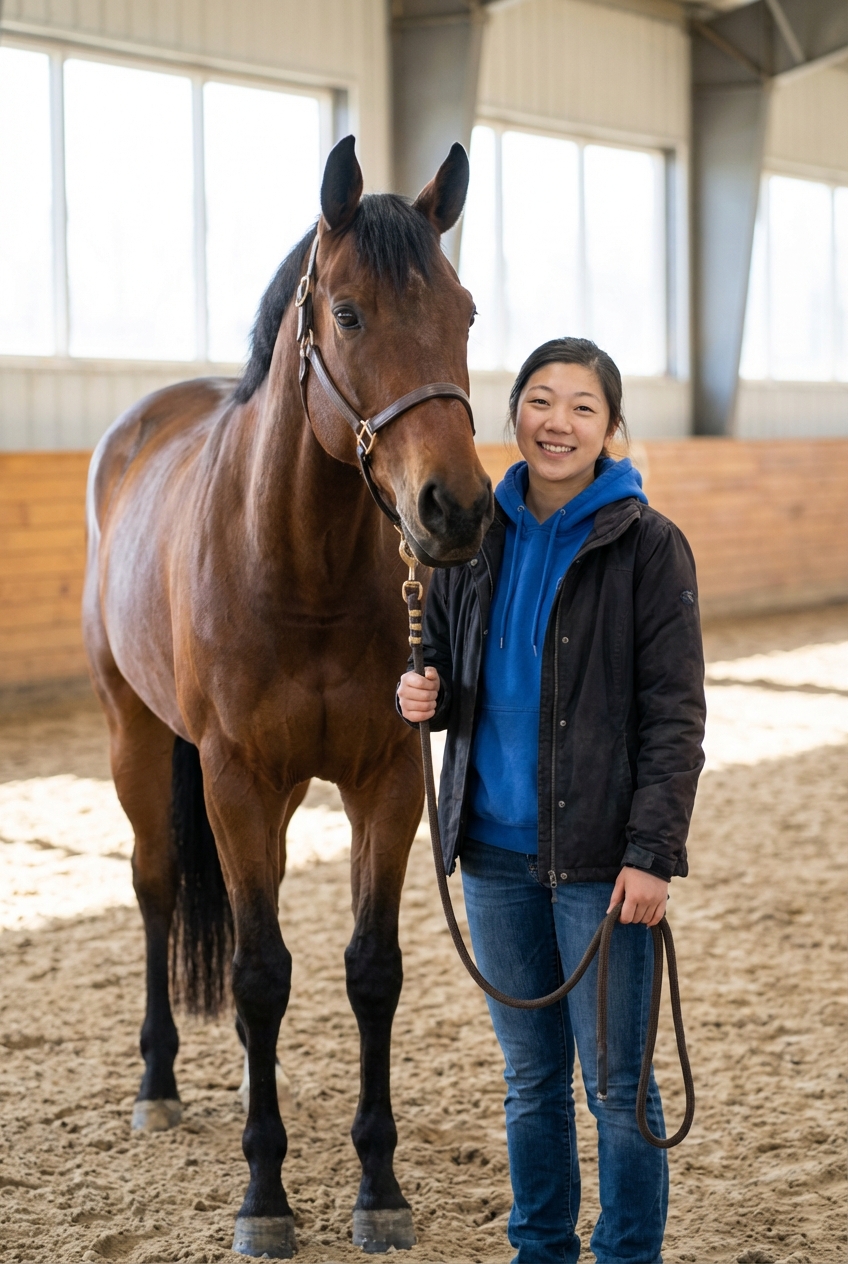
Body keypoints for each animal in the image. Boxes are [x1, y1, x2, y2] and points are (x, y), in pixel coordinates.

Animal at [82, 135, 493, 1258]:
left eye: (465, 312)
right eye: (347, 313)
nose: (455, 508)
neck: (299, 569)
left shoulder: (384, 782)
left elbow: (371, 970)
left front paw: (379, 1186)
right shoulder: (236, 783)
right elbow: (263, 975)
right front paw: (264, 1195)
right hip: (137, 740)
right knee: (153, 887)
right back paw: (158, 1082)